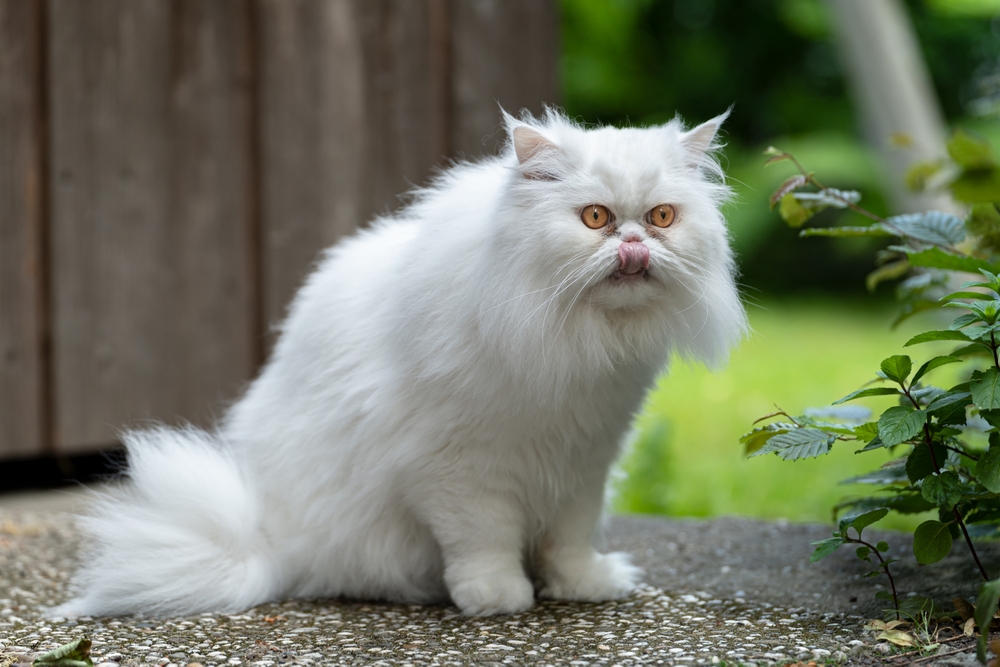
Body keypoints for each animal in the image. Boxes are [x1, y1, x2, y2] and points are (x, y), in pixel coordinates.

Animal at [52, 108, 744, 616]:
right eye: (595, 217)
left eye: (661, 217)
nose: (634, 243)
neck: (573, 345)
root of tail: (267, 542)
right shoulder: (458, 471)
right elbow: (484, 541)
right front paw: (498, 599)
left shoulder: (585, 461)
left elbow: (569, 539)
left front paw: (584, 587)